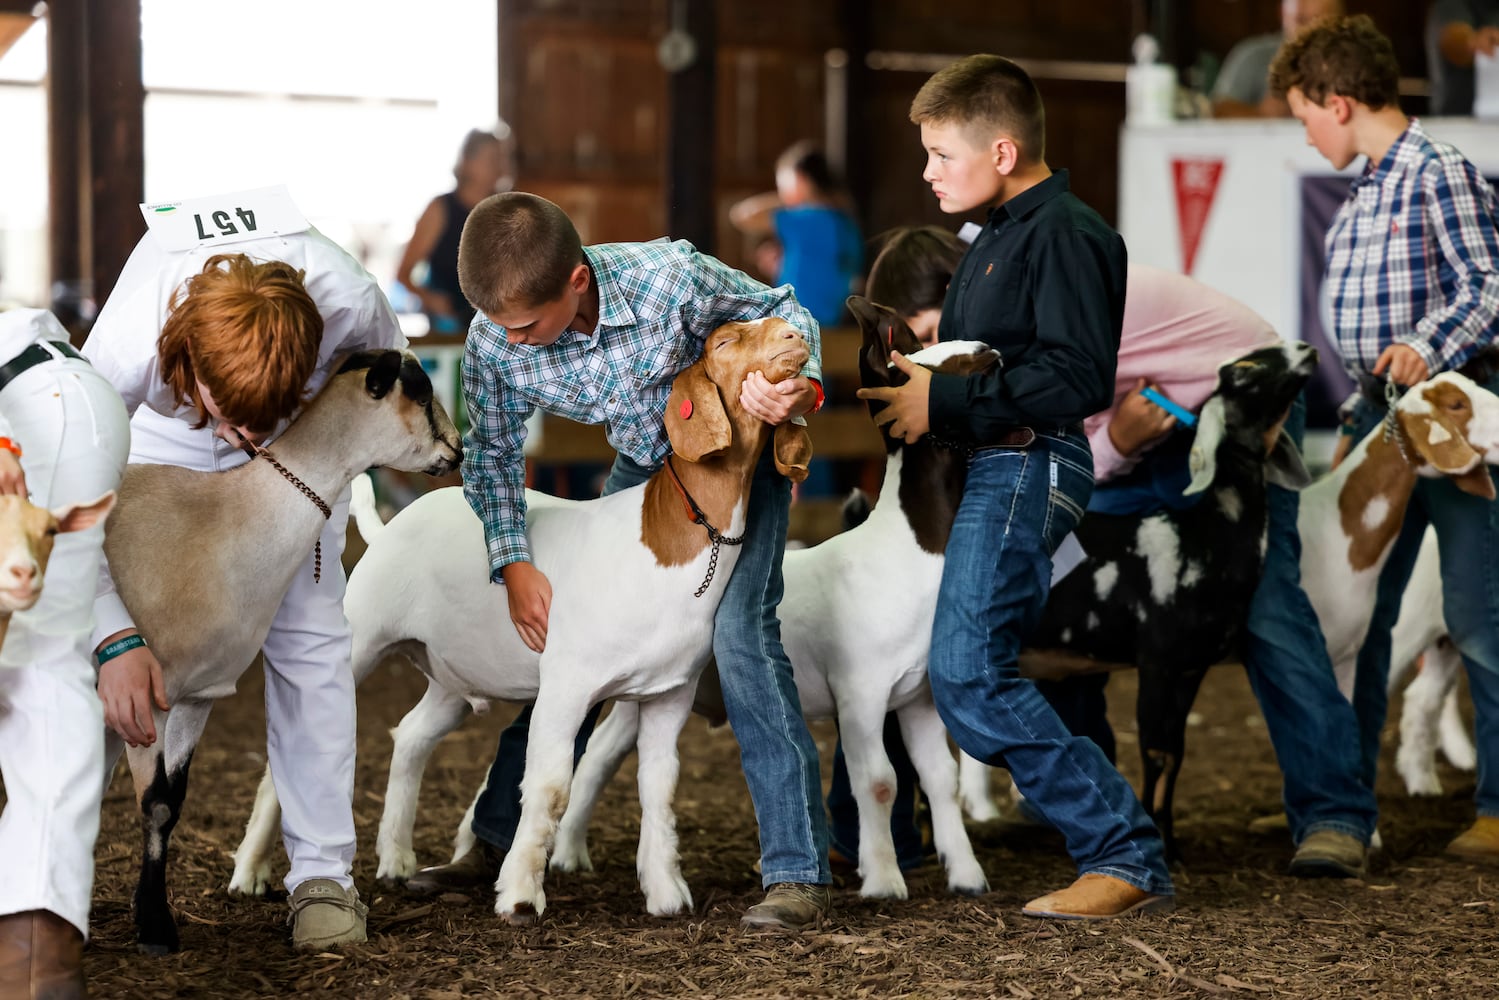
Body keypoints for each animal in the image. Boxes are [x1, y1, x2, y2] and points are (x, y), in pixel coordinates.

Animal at [105, 352, 461, 953]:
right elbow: (153, 804)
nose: (458, 448)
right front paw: (154, 926)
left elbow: (172, 802)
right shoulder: (145, 697)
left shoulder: (198, 694)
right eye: (419, 390)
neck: (225, 520)